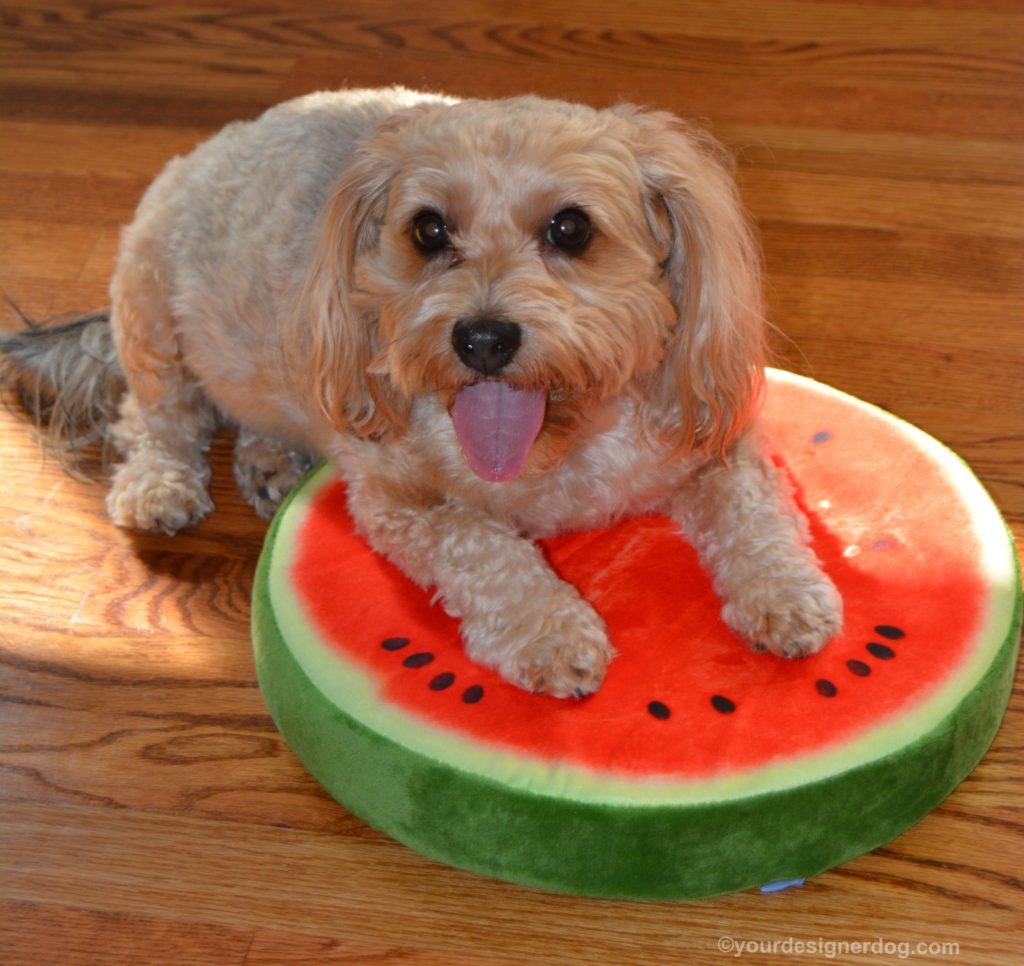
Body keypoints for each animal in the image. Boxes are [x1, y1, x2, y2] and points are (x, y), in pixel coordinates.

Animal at [0, 87, 839, 700]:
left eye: (571, 228)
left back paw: (270, 461)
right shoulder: (397, 498)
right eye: (429, 230)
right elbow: (479, 542)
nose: (482, 339)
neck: (561, 445)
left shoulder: (708, 439)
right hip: (150, 306)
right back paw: (160, 483)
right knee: (158, 415)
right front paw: (550, 631)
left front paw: (789, 595)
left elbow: (751, 510)